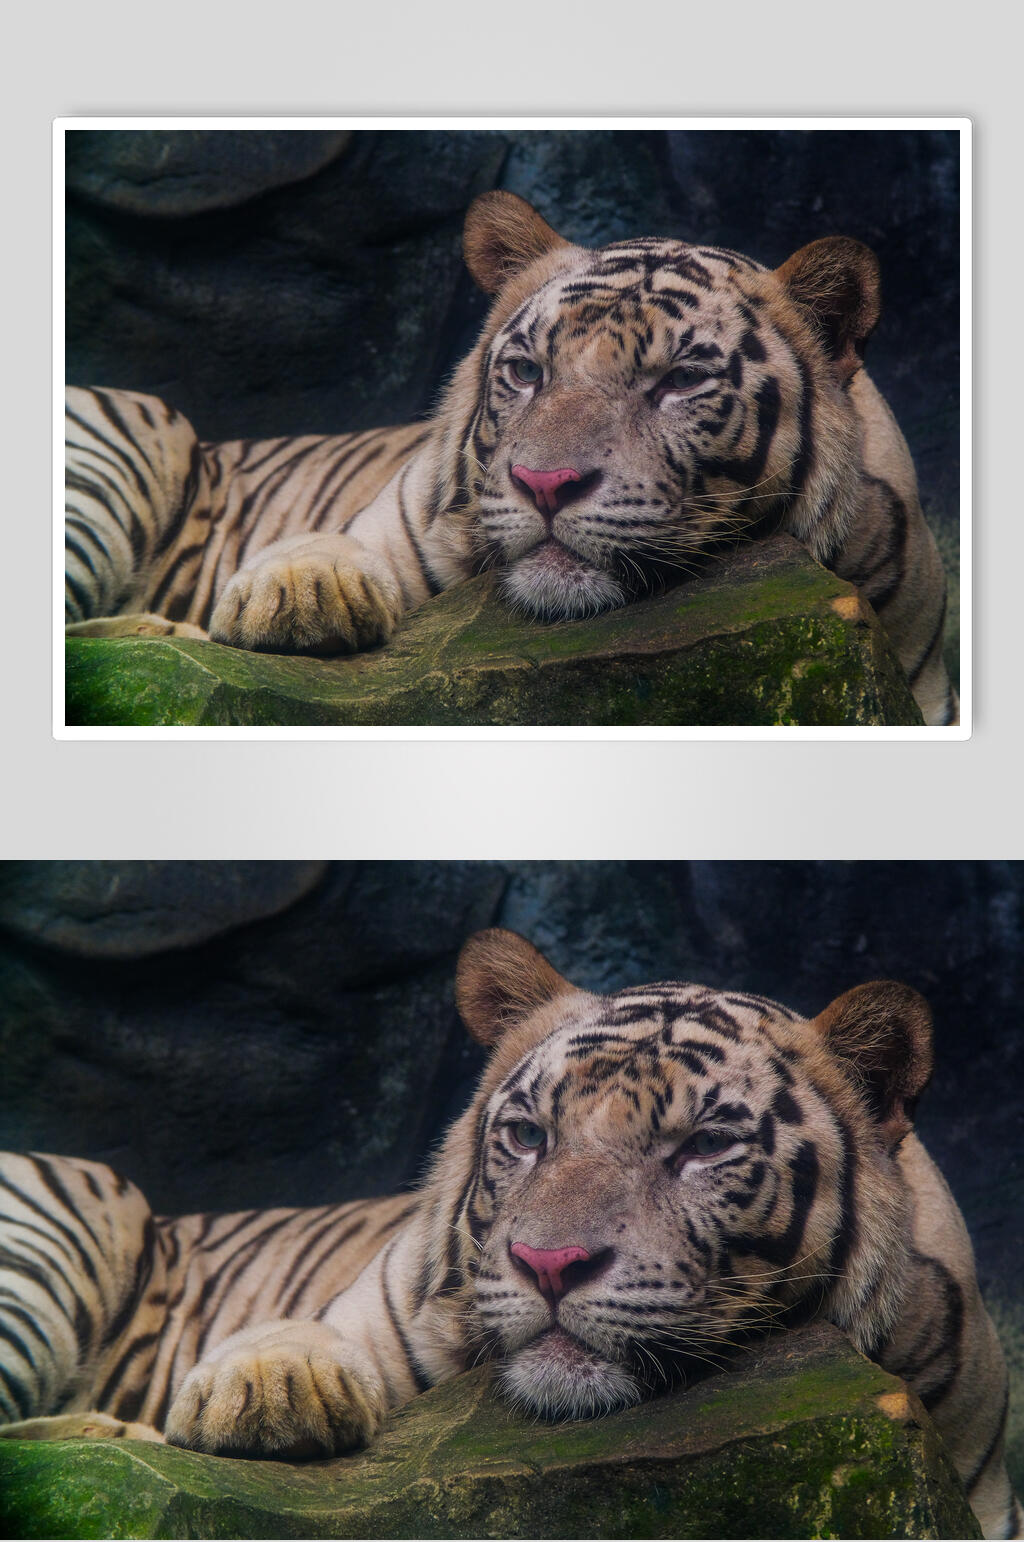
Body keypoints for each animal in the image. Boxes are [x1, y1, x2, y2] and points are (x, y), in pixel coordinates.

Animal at [0, 930, 1017, 1538]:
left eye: (703, 1146)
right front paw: (267, 1395)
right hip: (82, 1207)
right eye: (528, 1135)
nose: (549, 1264)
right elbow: (298, 1340)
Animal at [65, 190, 958, 726]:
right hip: (134, 433)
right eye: (527, 371)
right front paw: (298, 599)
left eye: (680, 381)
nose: (545, 484)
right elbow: (328, 551)